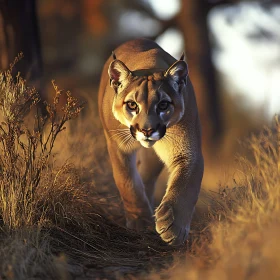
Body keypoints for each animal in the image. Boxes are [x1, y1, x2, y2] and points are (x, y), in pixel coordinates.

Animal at [98, 38, 203, 244]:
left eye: (163, 105)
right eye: (132, 105)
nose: (147, 130)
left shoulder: (188, 151)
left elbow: (186, 186)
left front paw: (173, 226)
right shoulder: (117, 146)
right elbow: (127, 181)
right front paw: (139, 219)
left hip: (153, 158)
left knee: (147, 176)